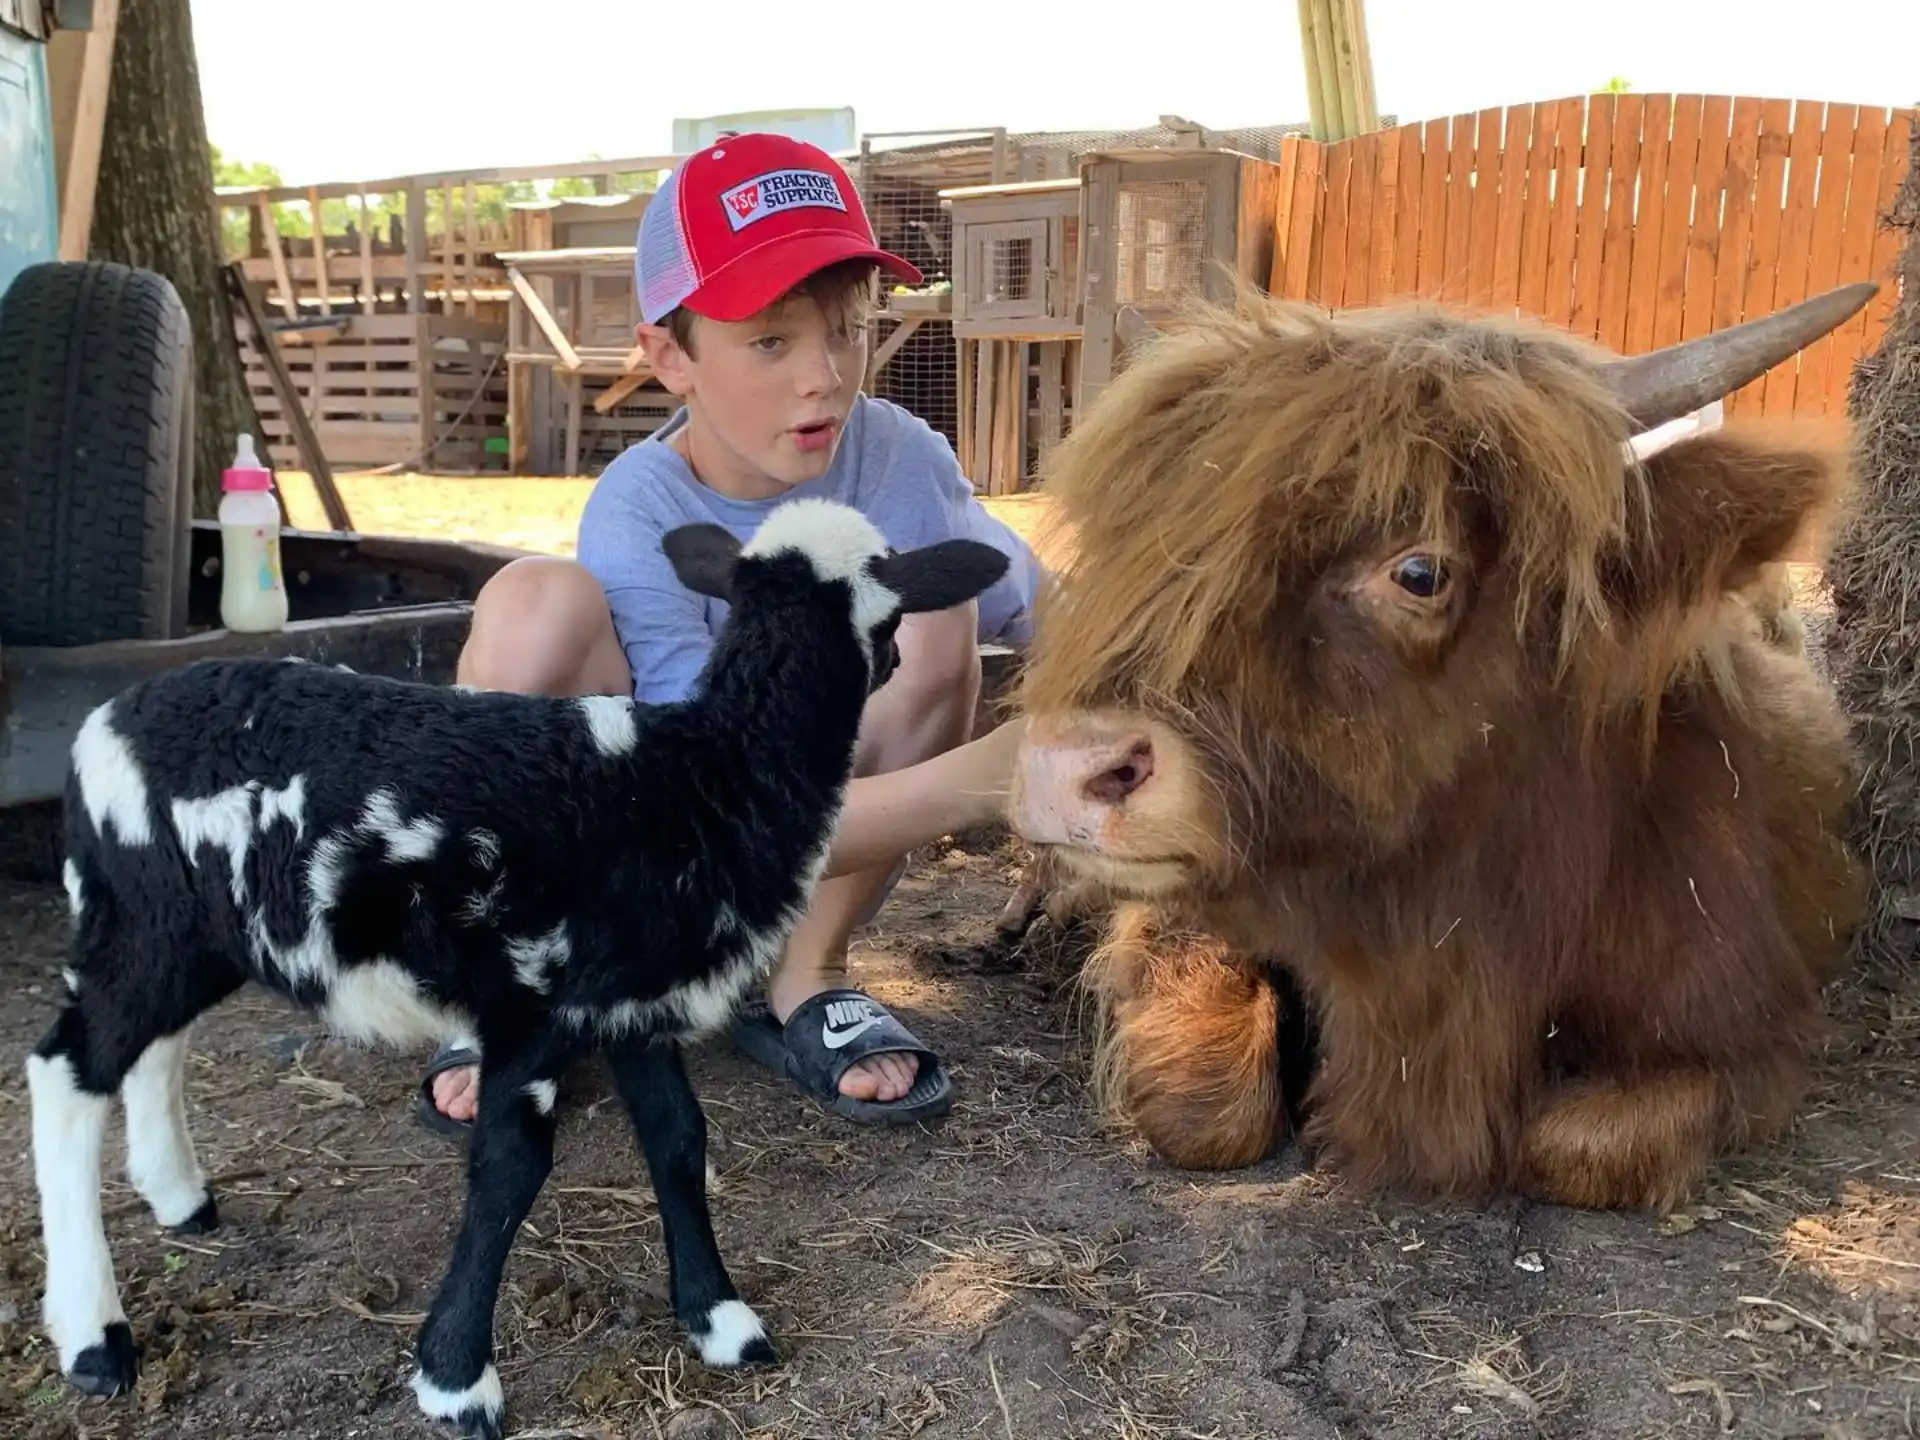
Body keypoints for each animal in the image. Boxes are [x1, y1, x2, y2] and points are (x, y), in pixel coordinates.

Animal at [1004, 282, 1875, 1214]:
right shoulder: (1198, 912)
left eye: (1419, 572)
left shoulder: (1742, 1030)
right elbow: (1208, 1109)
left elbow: (1575, 1146)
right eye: (1129, 544)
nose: (1063, 766)